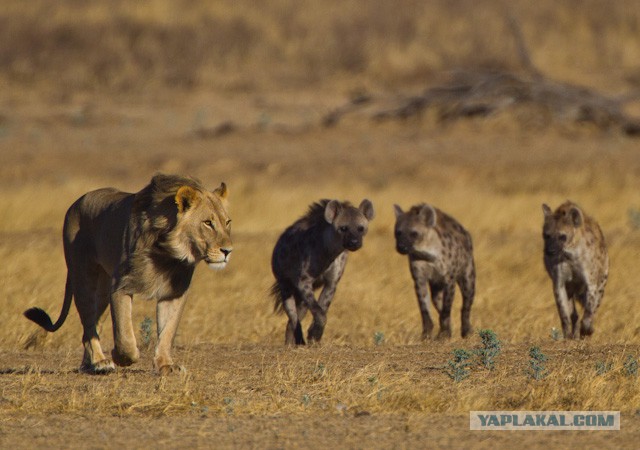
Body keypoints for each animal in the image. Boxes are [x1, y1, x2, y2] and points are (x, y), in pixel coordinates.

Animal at [23, 174, 232, 374]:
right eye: (208, 223)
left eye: (227, 222)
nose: (228, 251)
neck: (169, 254)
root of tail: (76, 203)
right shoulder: (121, 285)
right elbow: (124, 334)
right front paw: (121, 357)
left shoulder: (174, 292)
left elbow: (167, 332)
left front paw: (166, 365)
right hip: (84, 278)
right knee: (89, 324)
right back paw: (100, 362)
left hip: (102, 290)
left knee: (91, 328)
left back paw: (88, 365)